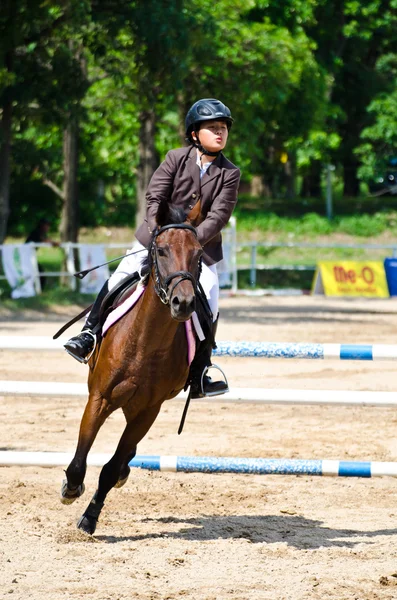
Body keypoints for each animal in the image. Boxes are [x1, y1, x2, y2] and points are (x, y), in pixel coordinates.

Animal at [60, 202, 203, 536]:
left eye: (199, 253)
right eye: (161, 250)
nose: (183, 303)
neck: (145, 341)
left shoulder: (148, 410)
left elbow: (111, 469)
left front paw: (90, 518)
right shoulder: (99, 398)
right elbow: (79, 460)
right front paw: (71, 488)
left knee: (126, 453)